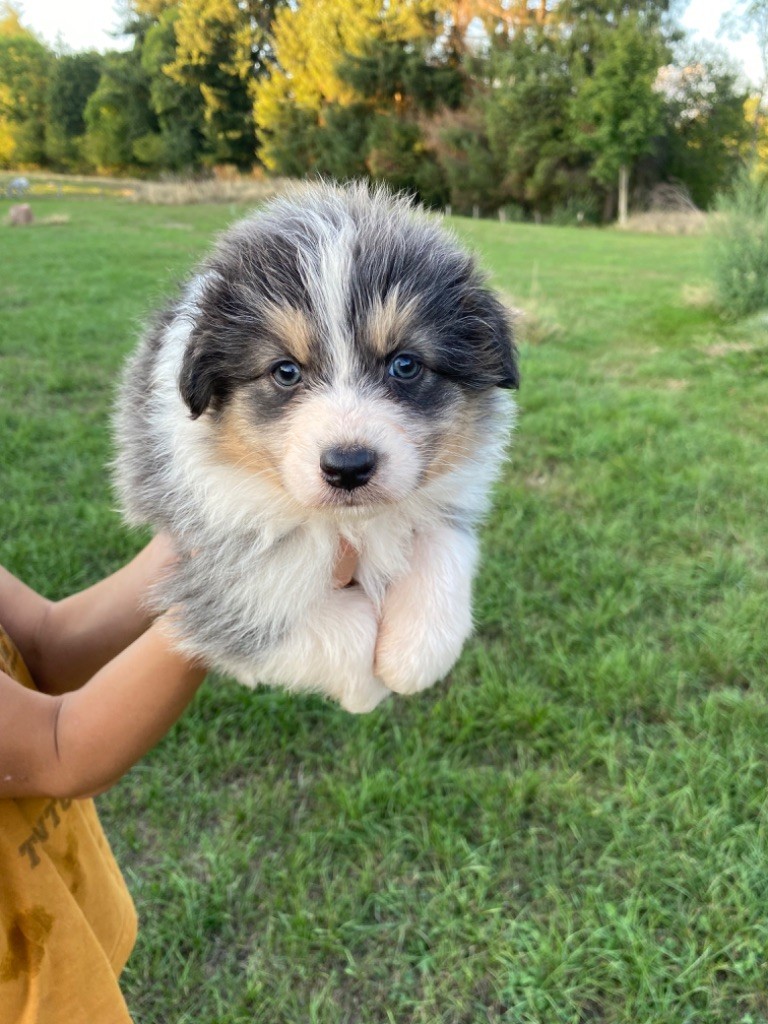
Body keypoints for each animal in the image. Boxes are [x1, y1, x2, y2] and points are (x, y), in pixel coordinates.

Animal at [112, 182, 518, 712]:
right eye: (285, 371)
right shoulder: (222, 575)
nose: (349, 467)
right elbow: (327, 624)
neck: (348, 523)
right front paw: (367, 689)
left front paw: (412, 660)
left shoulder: (448, 495)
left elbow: (441, 540)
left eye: (405, 365)